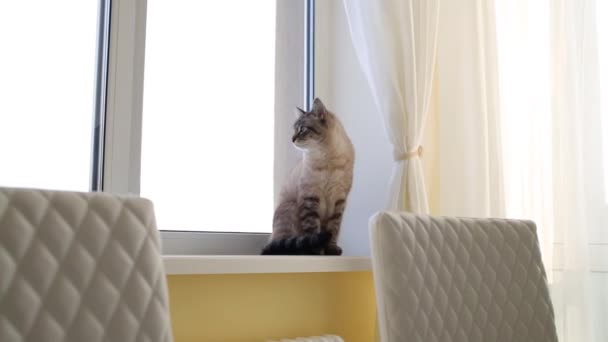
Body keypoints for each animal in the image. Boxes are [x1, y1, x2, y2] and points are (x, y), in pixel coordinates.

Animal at [262, 97, 356, 255]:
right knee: (284, 245)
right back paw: (300, 250)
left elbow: (334, 229)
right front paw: (317, 251)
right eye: (294, 130)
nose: (292, 139)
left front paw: (331, 250)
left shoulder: (338, 199)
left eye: (302, 129)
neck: (327, 159)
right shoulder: (311, 197)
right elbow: (312, 230)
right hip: (291, 208)